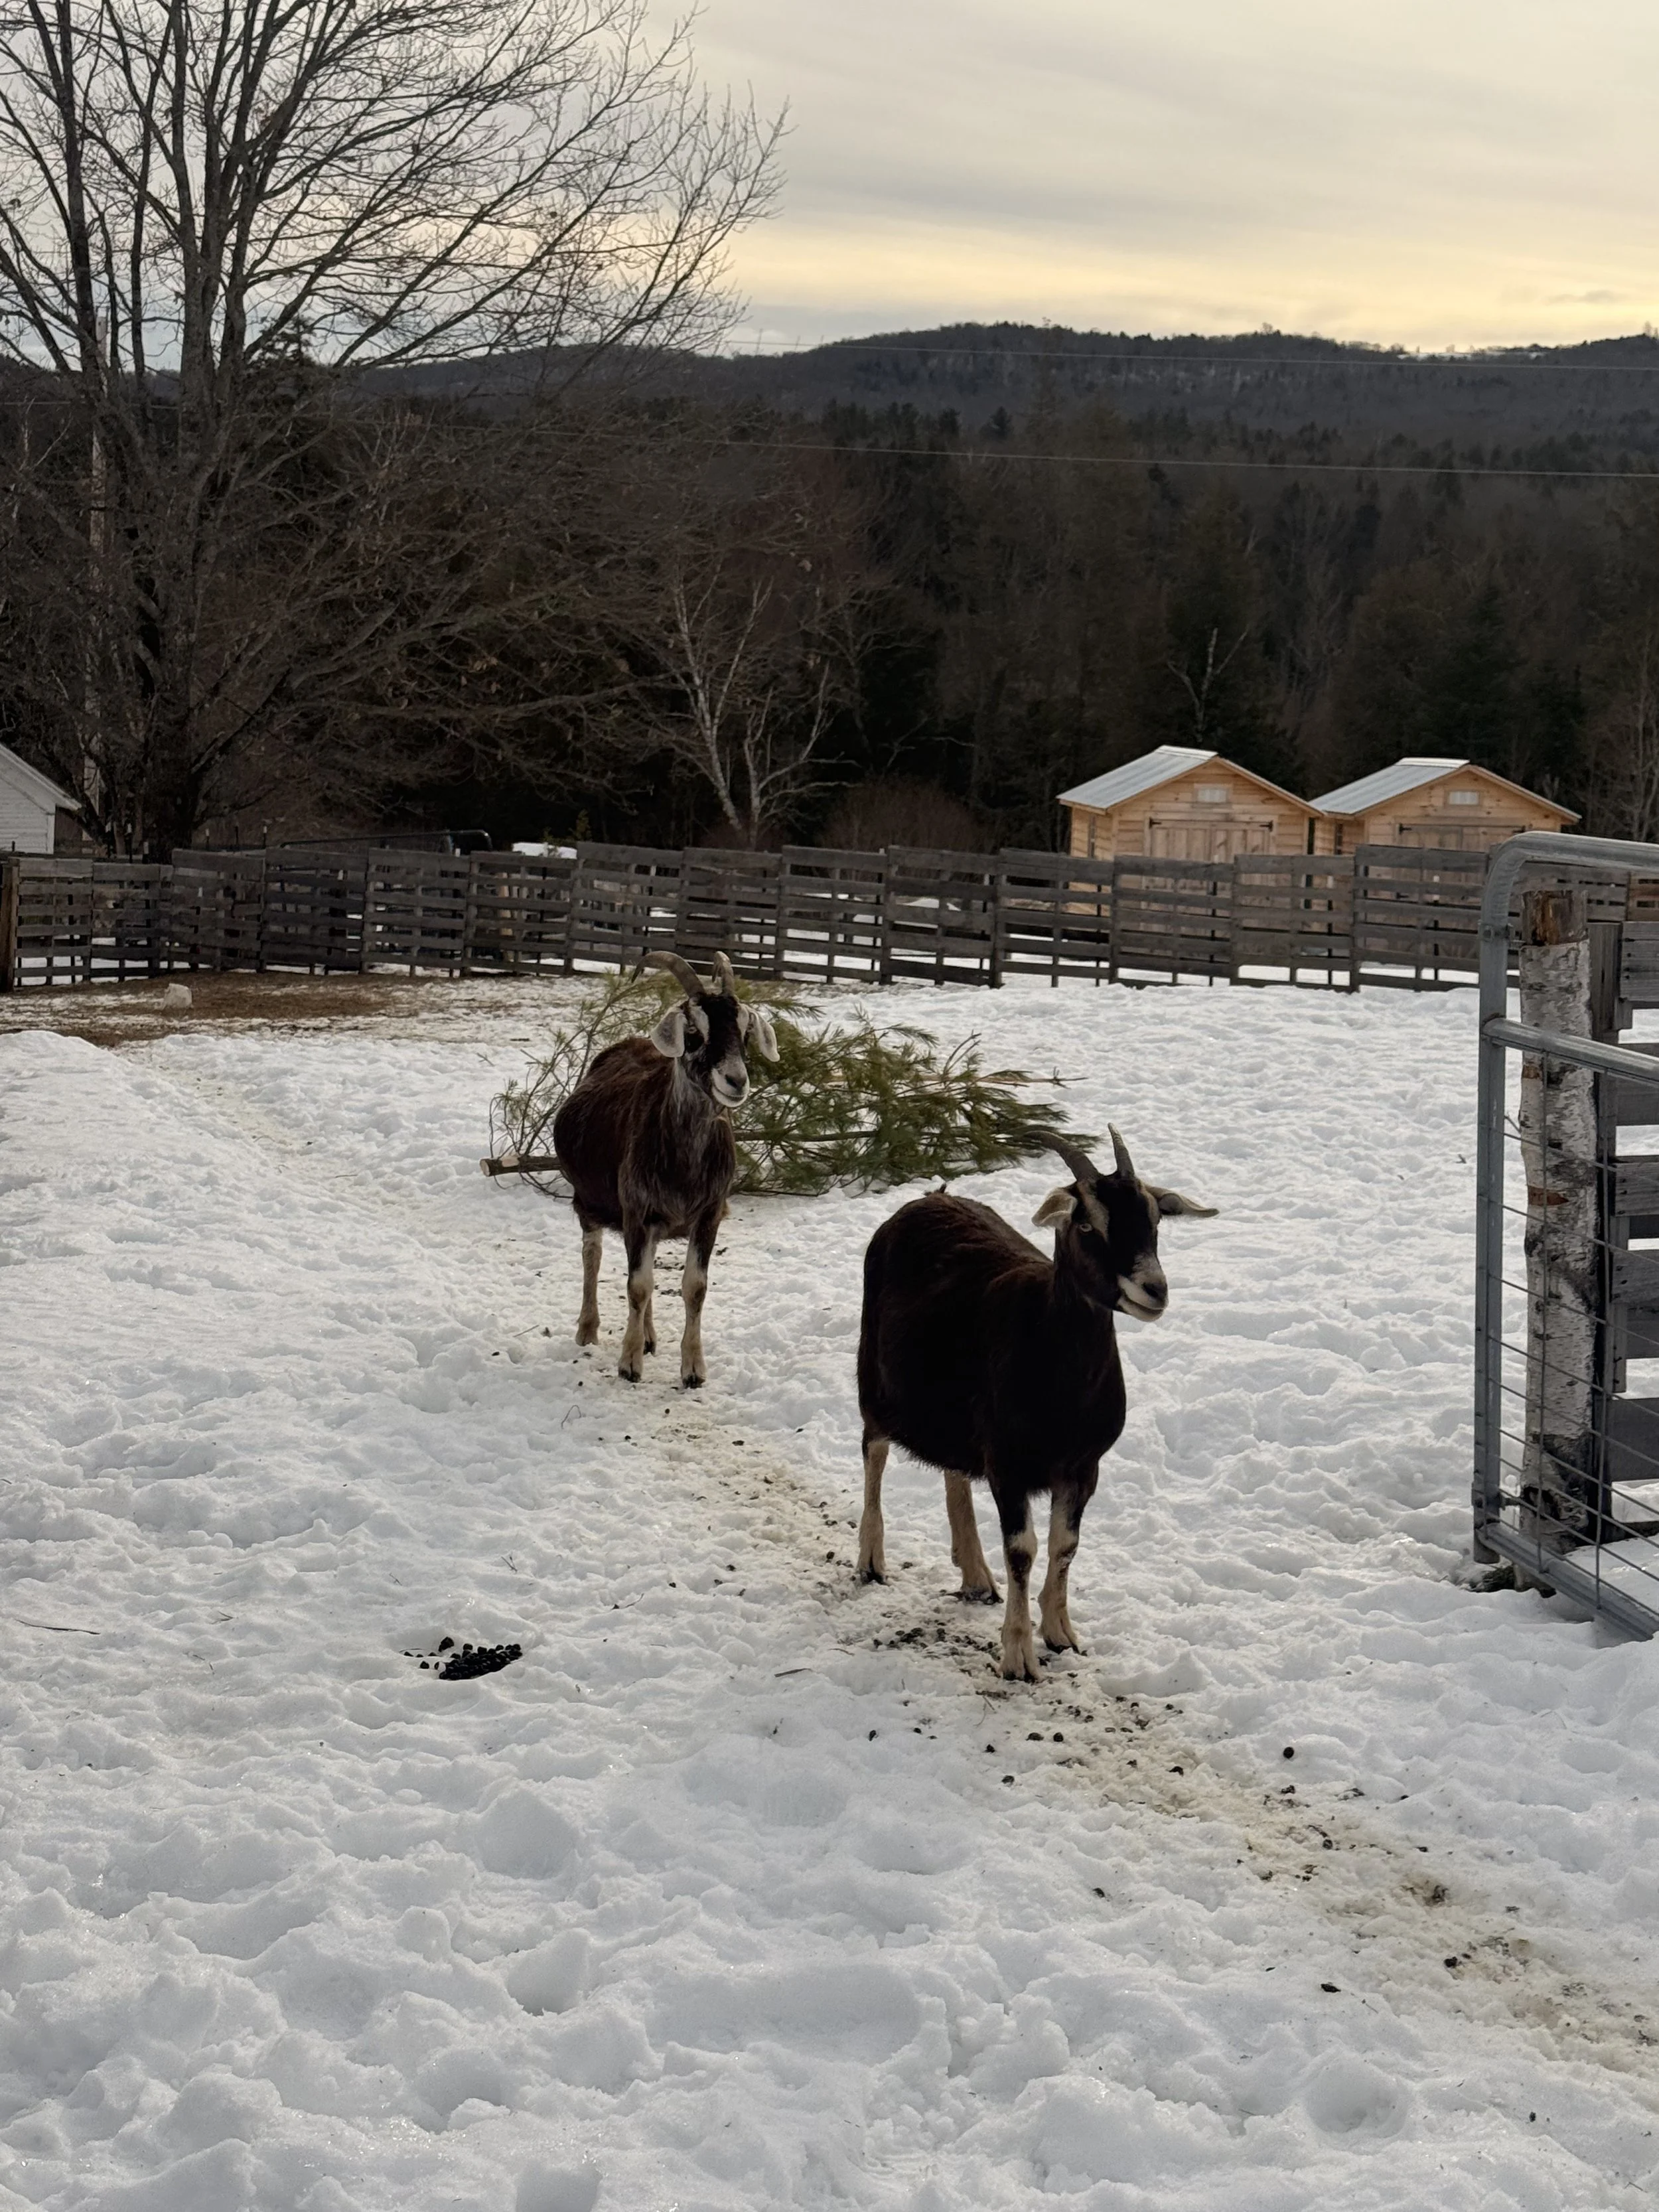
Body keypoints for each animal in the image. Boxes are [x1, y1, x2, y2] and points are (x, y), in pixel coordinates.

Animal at [552, 949, 777, 1387]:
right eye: (694, 1033)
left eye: (744, 1032)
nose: (735, 1081)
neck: (684, 1162)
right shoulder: (636, 1210)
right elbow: (637, 1285)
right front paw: (629, 1364)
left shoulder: (708, 1214)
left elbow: (694, 1287)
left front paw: (693, 1370)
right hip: (588, 1201)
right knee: (592, 1254)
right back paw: (588, 1329)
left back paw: (650, 1336)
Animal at [855, 1129, 1215, 1681]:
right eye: (1086, 1223)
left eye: (1154, 1219)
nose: (1154, 1289)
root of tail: (929, 1198)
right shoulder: (1009, 1465)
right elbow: (1023, 1550)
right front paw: (1018, 1655)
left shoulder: (1083, 1466)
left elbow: (1066, 1544)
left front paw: (1061, 1632)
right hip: (874, 1377)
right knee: (873, 1450)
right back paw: (871, 1560)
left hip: (954, 1414)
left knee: (954, 1469)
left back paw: (975, 1573)